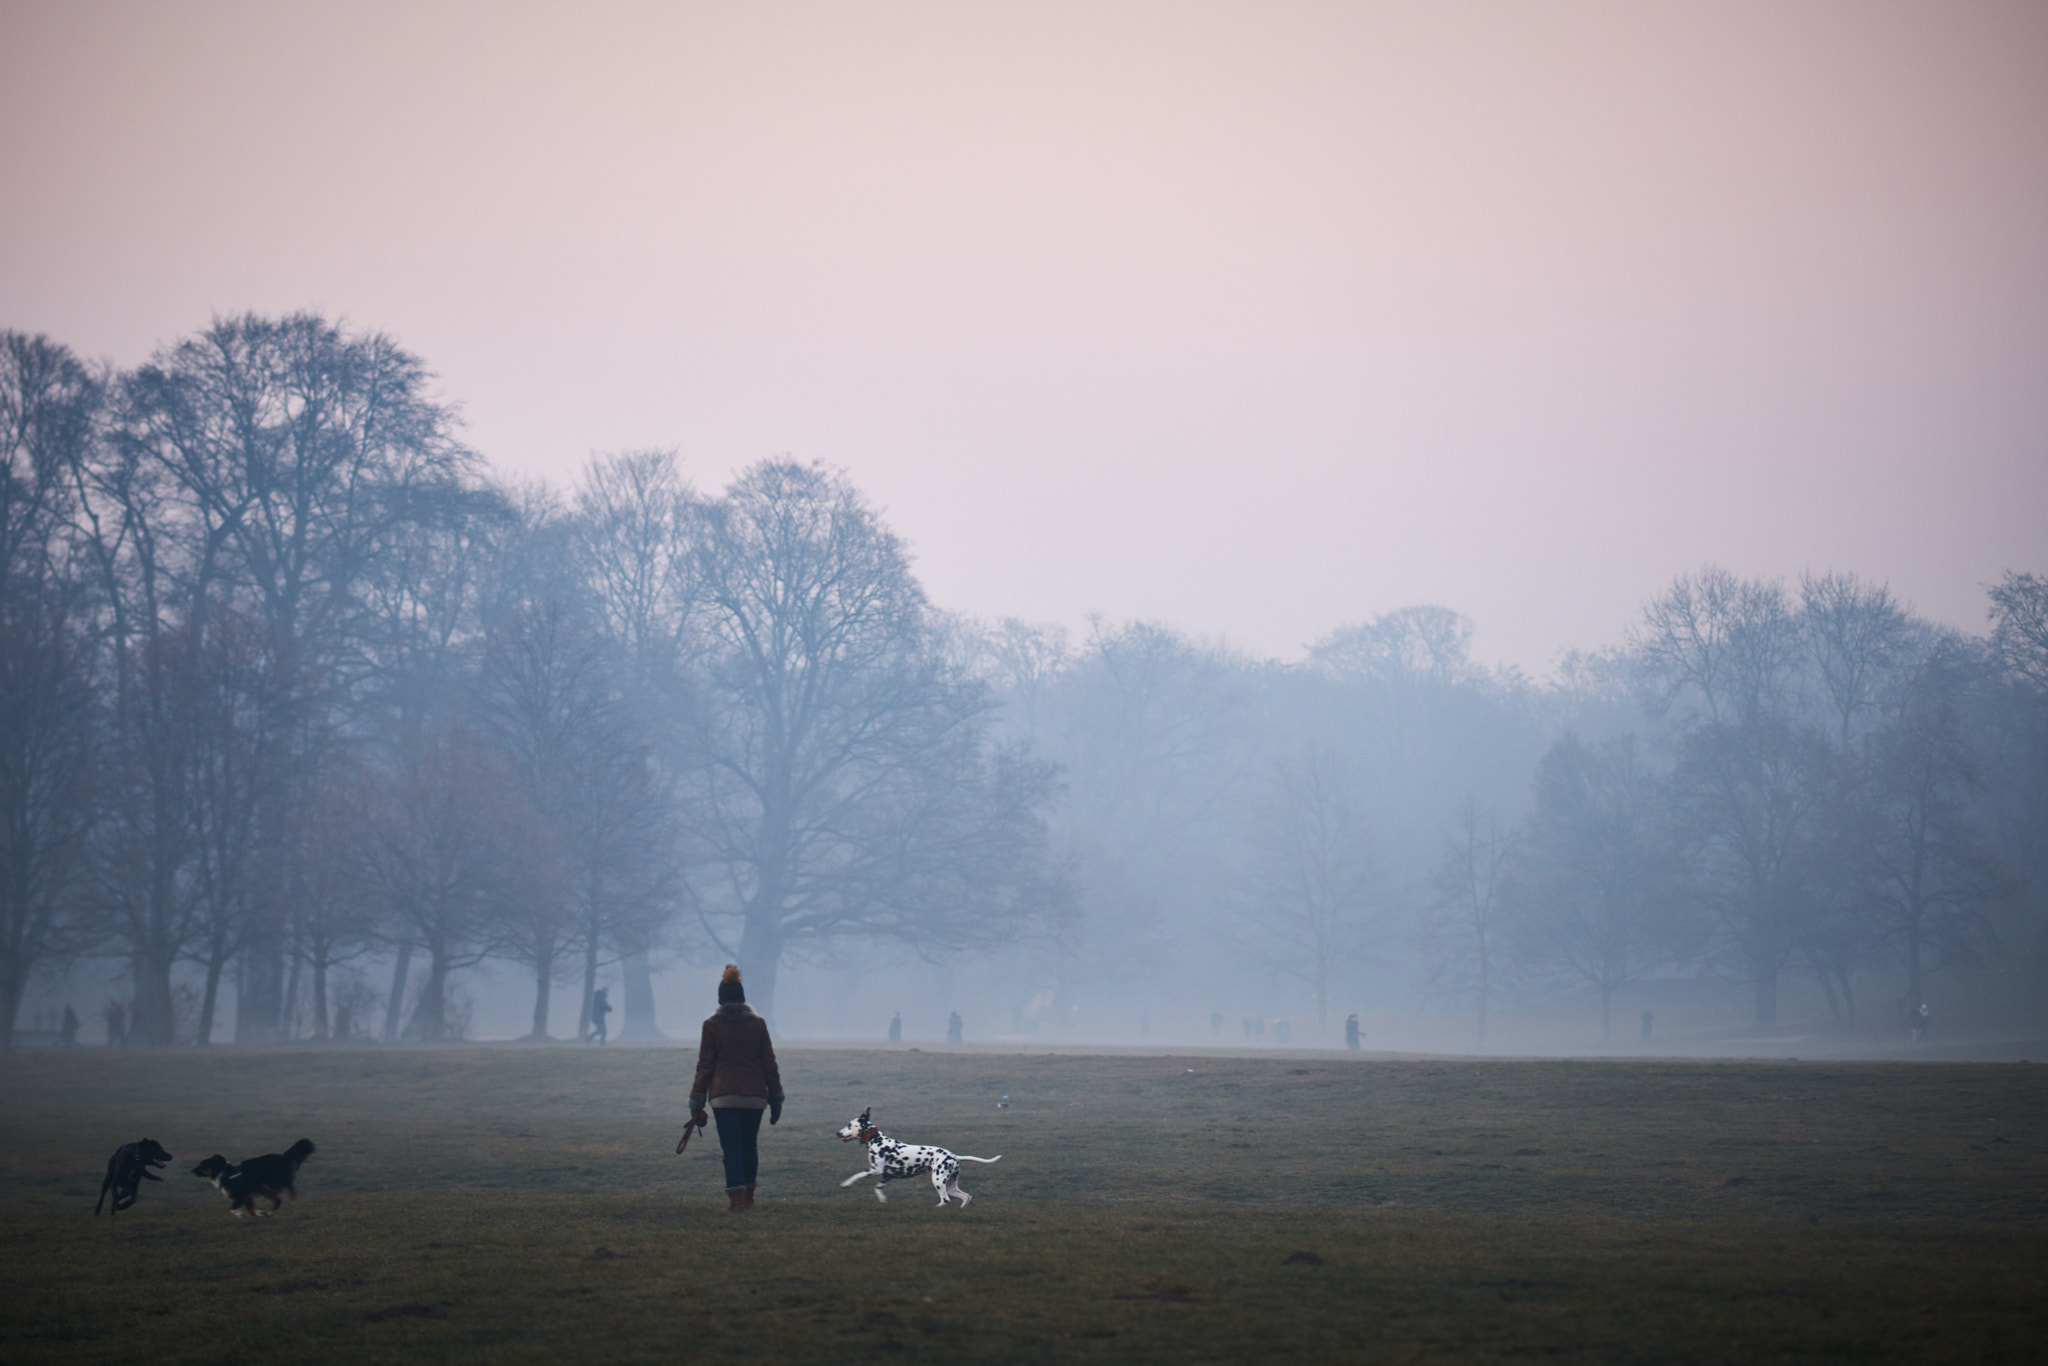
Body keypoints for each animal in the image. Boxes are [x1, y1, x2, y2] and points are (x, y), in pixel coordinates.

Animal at [827, 1114, 995, 1204]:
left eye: (849, 1125)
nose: (837, 1133)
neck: (877, 1140)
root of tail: (953, 1156)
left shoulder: (875, 1170)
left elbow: (857, 1175)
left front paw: (846, 1184)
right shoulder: (886, 1176)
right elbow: (878, 1189)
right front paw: (882, 1200)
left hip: (938, 1181)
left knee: (945, 1200)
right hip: (951, 1186)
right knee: (965, 1197)